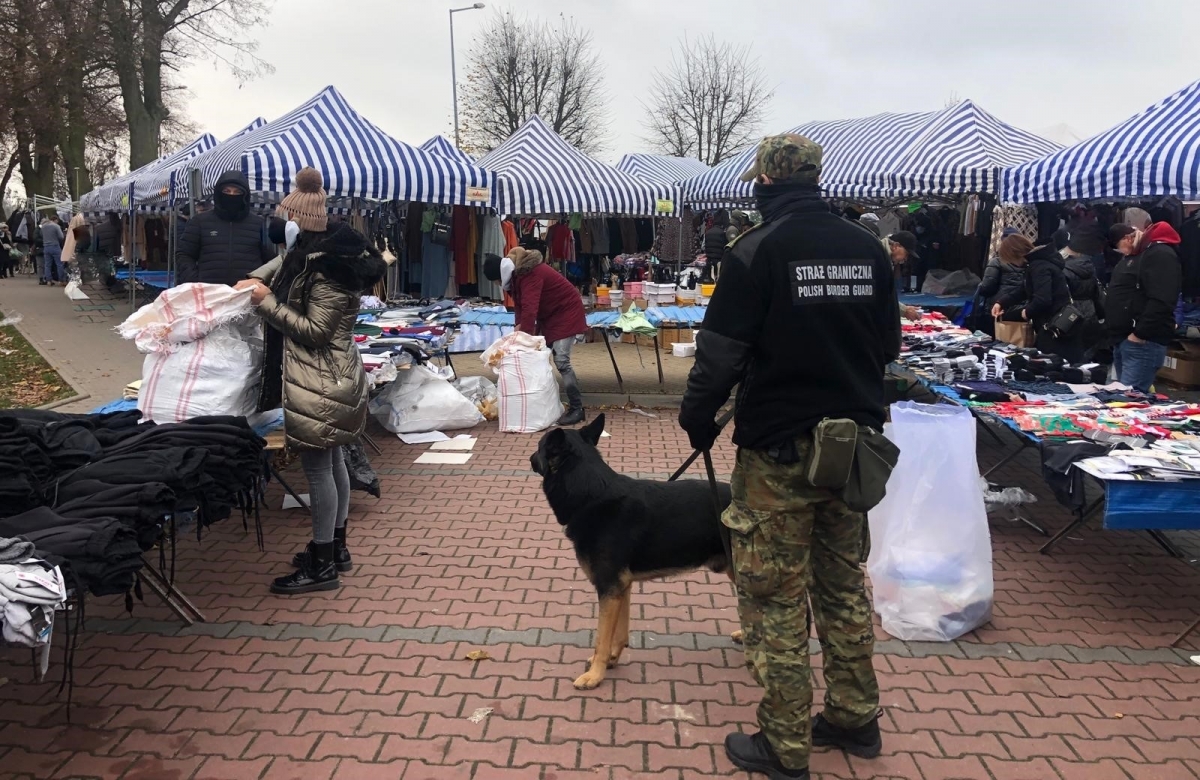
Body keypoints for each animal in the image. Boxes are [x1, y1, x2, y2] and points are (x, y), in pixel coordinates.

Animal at [532, 412, 729, 686]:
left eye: (538, 447)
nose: (530, 459)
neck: (591, 496)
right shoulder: (621, 588)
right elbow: (619, 633)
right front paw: (612, 659)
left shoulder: (608, 588)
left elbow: (601, 639)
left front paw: (595, 675)